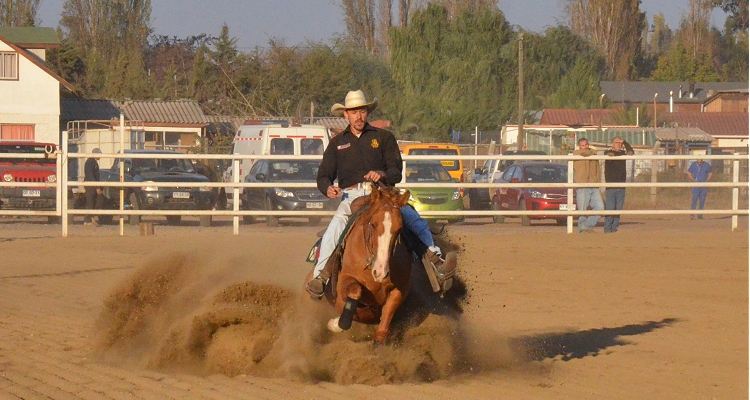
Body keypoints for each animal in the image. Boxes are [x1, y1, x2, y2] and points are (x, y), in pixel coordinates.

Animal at [312, 185, 414, 344]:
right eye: (373, 224)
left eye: (399, 228)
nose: (381, 272)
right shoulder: (343, 282)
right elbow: (354, 292)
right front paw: (336, 323)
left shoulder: (400, 289)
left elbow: (382, 331)